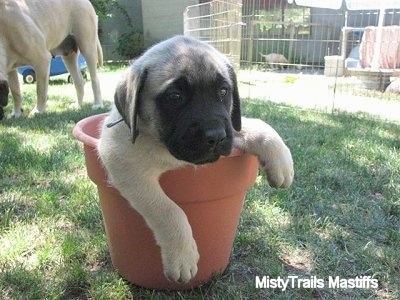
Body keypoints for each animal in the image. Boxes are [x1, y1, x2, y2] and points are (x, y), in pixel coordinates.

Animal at [98, 35, 296, 284]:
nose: (216, 136)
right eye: (175, 97)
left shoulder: (231, 127)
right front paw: (182, 256)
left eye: (223, 92)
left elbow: (255, 125)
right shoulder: (124, 163)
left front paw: (282, 161)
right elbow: (169, 210)